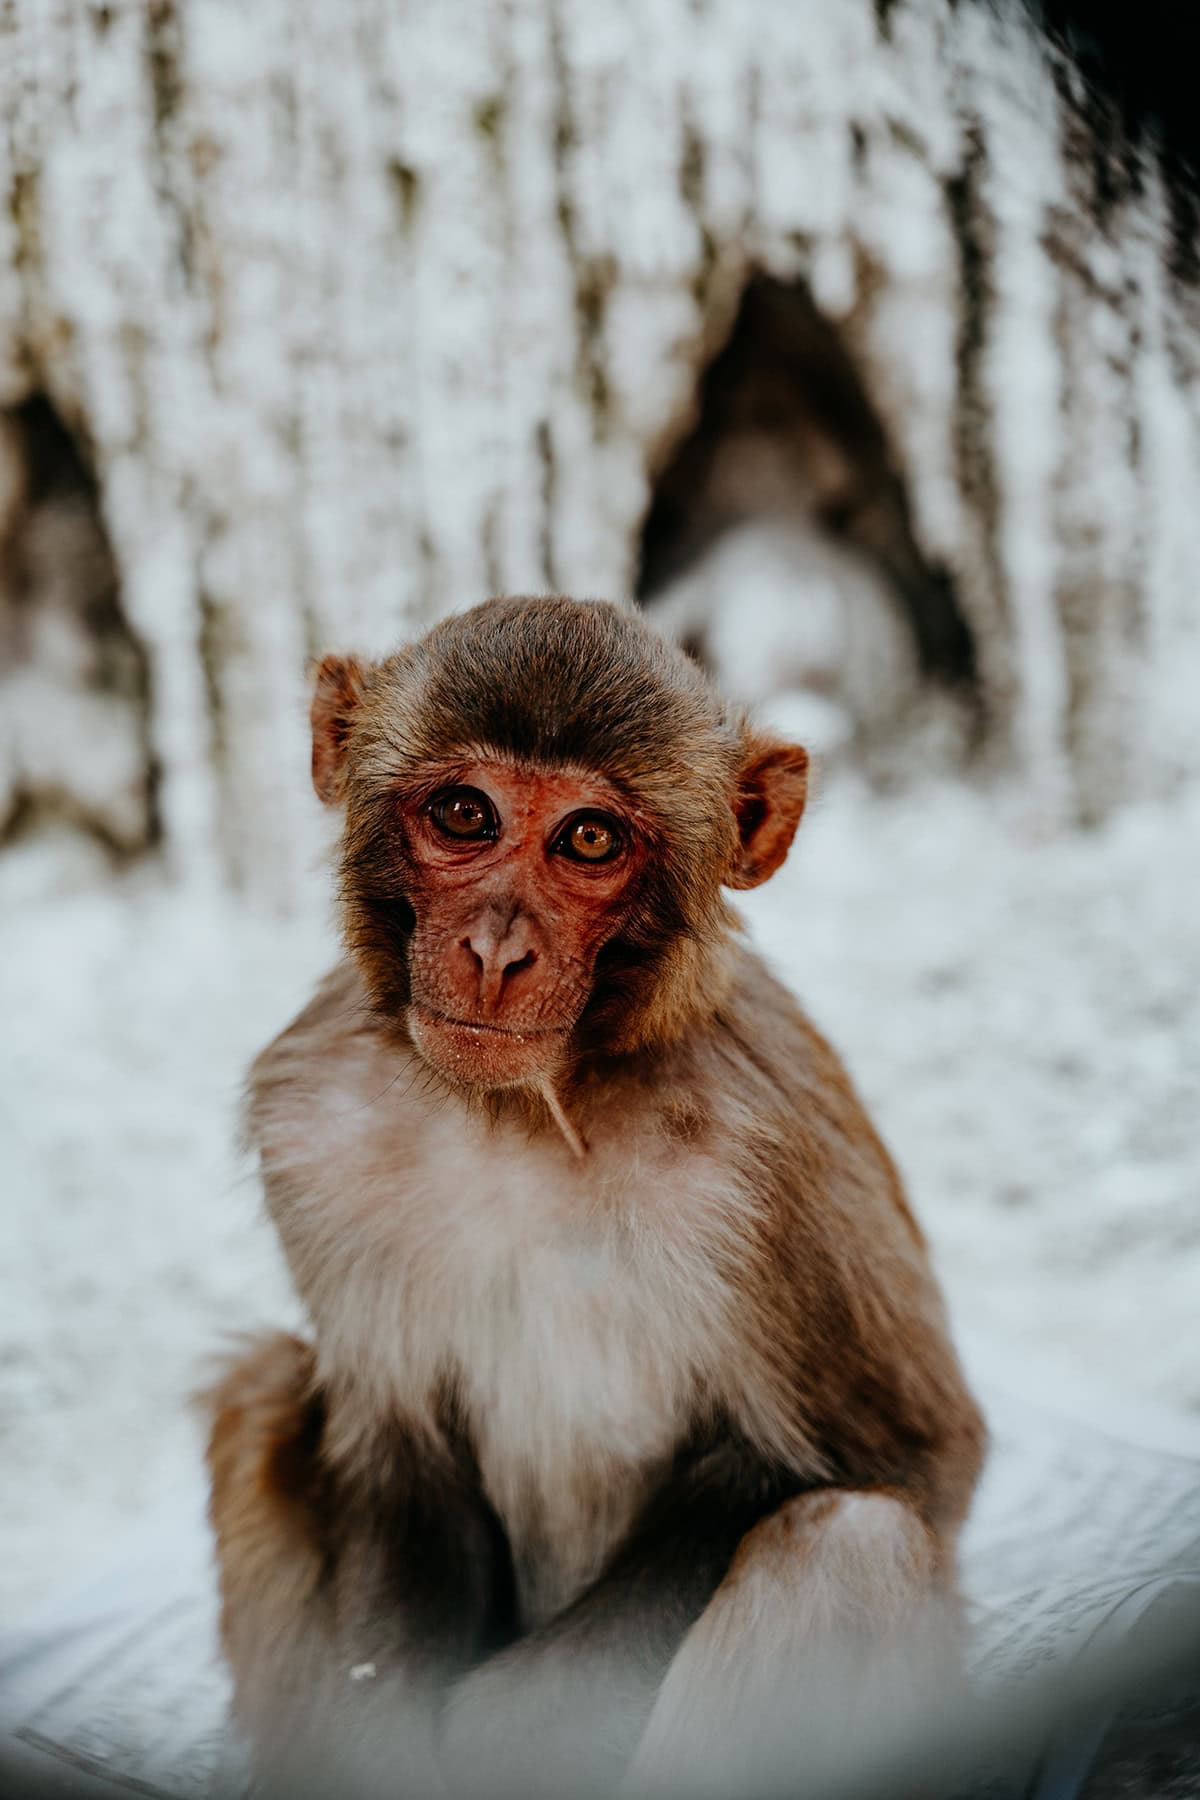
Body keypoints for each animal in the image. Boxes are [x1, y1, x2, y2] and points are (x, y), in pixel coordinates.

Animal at [206, 594, 985, 1800]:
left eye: (588, 839)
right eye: (465, 814)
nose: (495, 950)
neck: (522, 1113)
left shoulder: (773, 1169)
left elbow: (910, 1456)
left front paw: (509, 1729)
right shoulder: (311, 1125)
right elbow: (397, 1457)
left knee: (844, 1542)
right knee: (258, 1393)